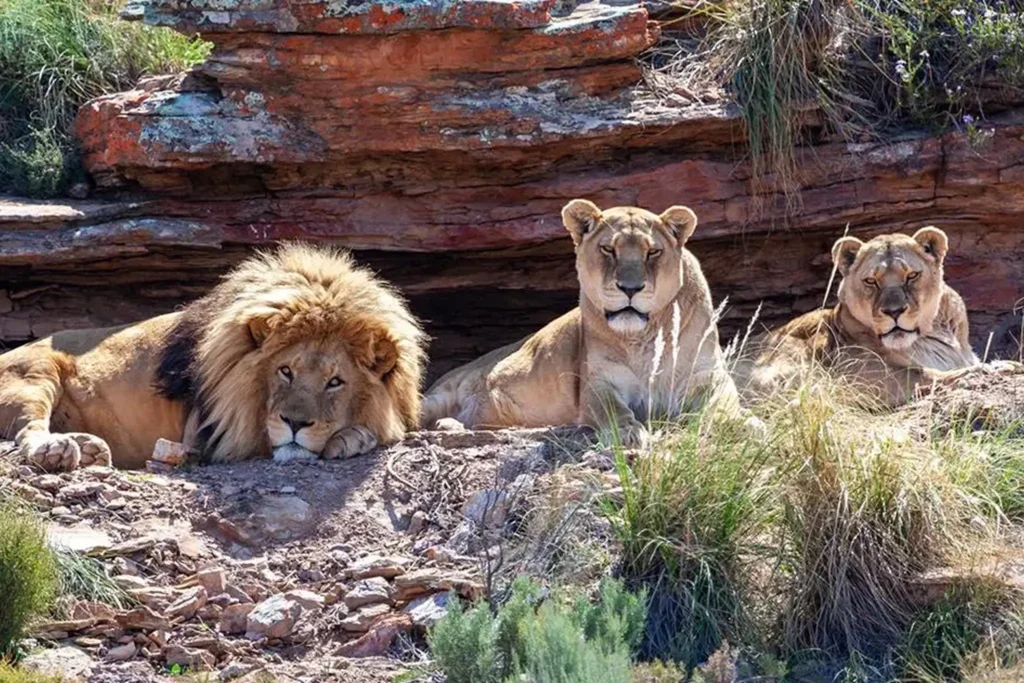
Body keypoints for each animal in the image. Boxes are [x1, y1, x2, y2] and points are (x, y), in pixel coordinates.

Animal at [0, 243, 426, 471]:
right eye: (285, 371)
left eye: (335, 382)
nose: (294, 423)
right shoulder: (208, 437)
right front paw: (350, 436)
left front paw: (354, 435)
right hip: (34, 375)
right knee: (24, 434)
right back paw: (57, 450)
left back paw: (88, 447)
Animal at [421, 199, 744, 445]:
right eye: (608, 249)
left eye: (653, 252)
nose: (630, 288)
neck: (642, 339)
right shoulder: (597, 383)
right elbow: (612, 410)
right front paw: (628, 431)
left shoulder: (708, 374)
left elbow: (725, 402)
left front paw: (741, 423)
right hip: (437, 395)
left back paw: (451, 425)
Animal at [733, 227, 980, 406]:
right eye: (871, 281)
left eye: (911, 276)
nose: (894, 311)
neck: (934, 335)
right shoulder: (861, 375)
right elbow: (927, 375)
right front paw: (980, 371)